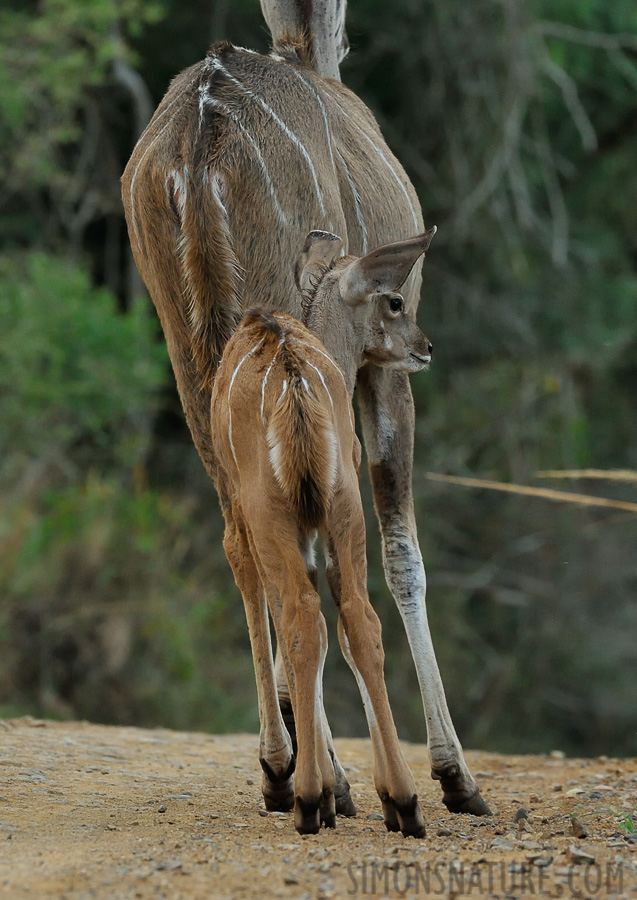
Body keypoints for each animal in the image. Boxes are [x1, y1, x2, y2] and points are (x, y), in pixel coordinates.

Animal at [209, 232, 432, 836]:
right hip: (343, 510)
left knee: (303, 618)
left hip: (274, 516)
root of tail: (294, 385)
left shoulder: (254, 522)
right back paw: (403, 801)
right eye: (394, 302)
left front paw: (306, 782)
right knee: (360, 619)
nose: (426, 347)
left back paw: (310, 799)